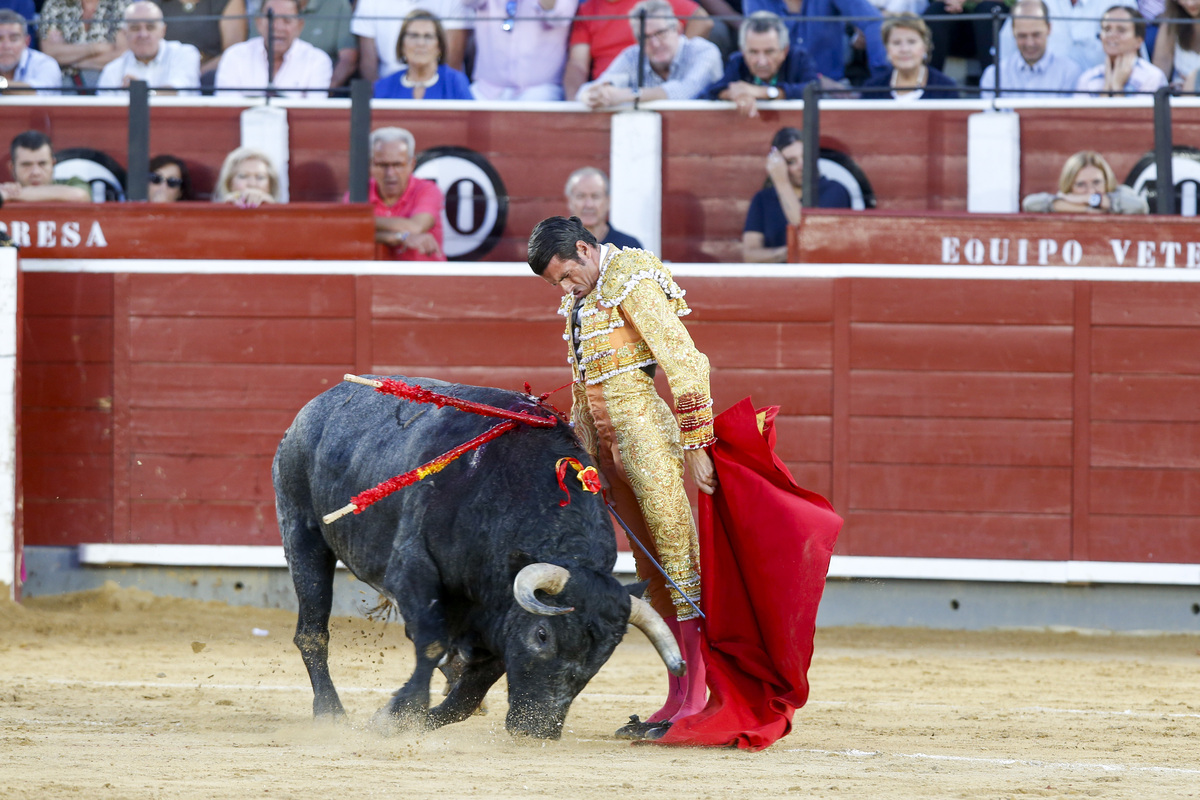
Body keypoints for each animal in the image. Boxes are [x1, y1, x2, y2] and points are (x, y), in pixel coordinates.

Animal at [273, 379, 686, 743]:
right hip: (302, 535)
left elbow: (469, 694)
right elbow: (431, 644)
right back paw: (330, 712)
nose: (537, 729)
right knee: (312, 632)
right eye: (542, 635)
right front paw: (396, 715)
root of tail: (317, 404)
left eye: (603, 656)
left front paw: (412, 718)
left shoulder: (498, 619)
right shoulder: (414, 569)